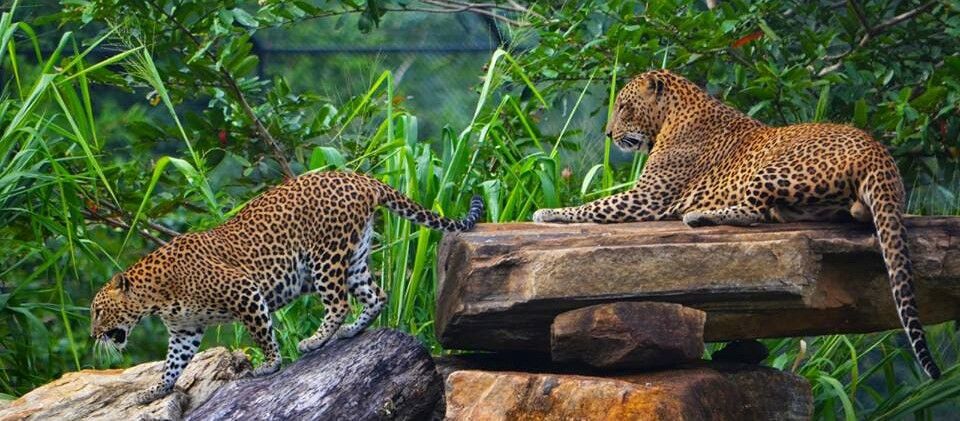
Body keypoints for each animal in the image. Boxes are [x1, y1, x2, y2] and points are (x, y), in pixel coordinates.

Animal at [91, 171, 484, 404]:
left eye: (97, 311)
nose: (94, 334)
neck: (155, 296)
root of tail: (359, 177)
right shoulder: (185, 331)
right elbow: (173, 363)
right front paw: (155, 390)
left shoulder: (244, 290)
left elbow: (262, 332)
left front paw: (269, 365)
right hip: (354, 257)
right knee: (376, 295)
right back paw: (349, 332)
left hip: (326, 254)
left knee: (339, 302)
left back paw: (316, 340)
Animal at [536, 68, 940, 378]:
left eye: (623, 106)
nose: (608, 134)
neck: (674, 115)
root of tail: (878, 152)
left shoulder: (648, 197)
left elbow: (593, 205)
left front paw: (548, 213)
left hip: (774, 168)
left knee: (754, 212)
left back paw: (702, 215)